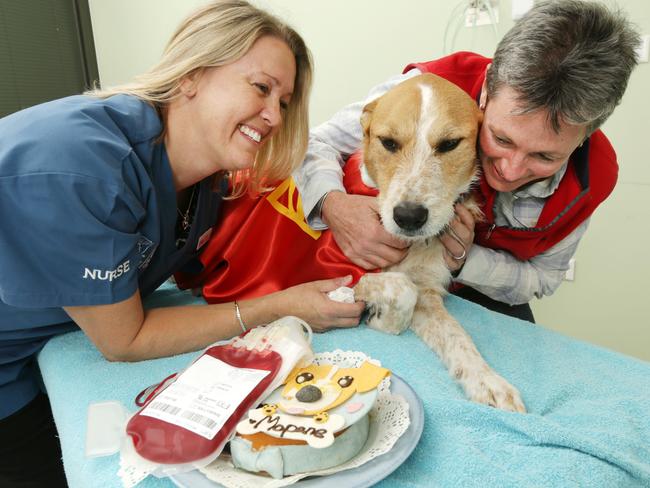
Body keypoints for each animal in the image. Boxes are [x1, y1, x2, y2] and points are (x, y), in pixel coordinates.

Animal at [350, 74, 528, 414]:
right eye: (388, 142)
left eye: (449, 144)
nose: (408, 217)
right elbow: (400, 289)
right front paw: (381, 320)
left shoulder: (427, 292)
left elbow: (458, 337)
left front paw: (488, 381)